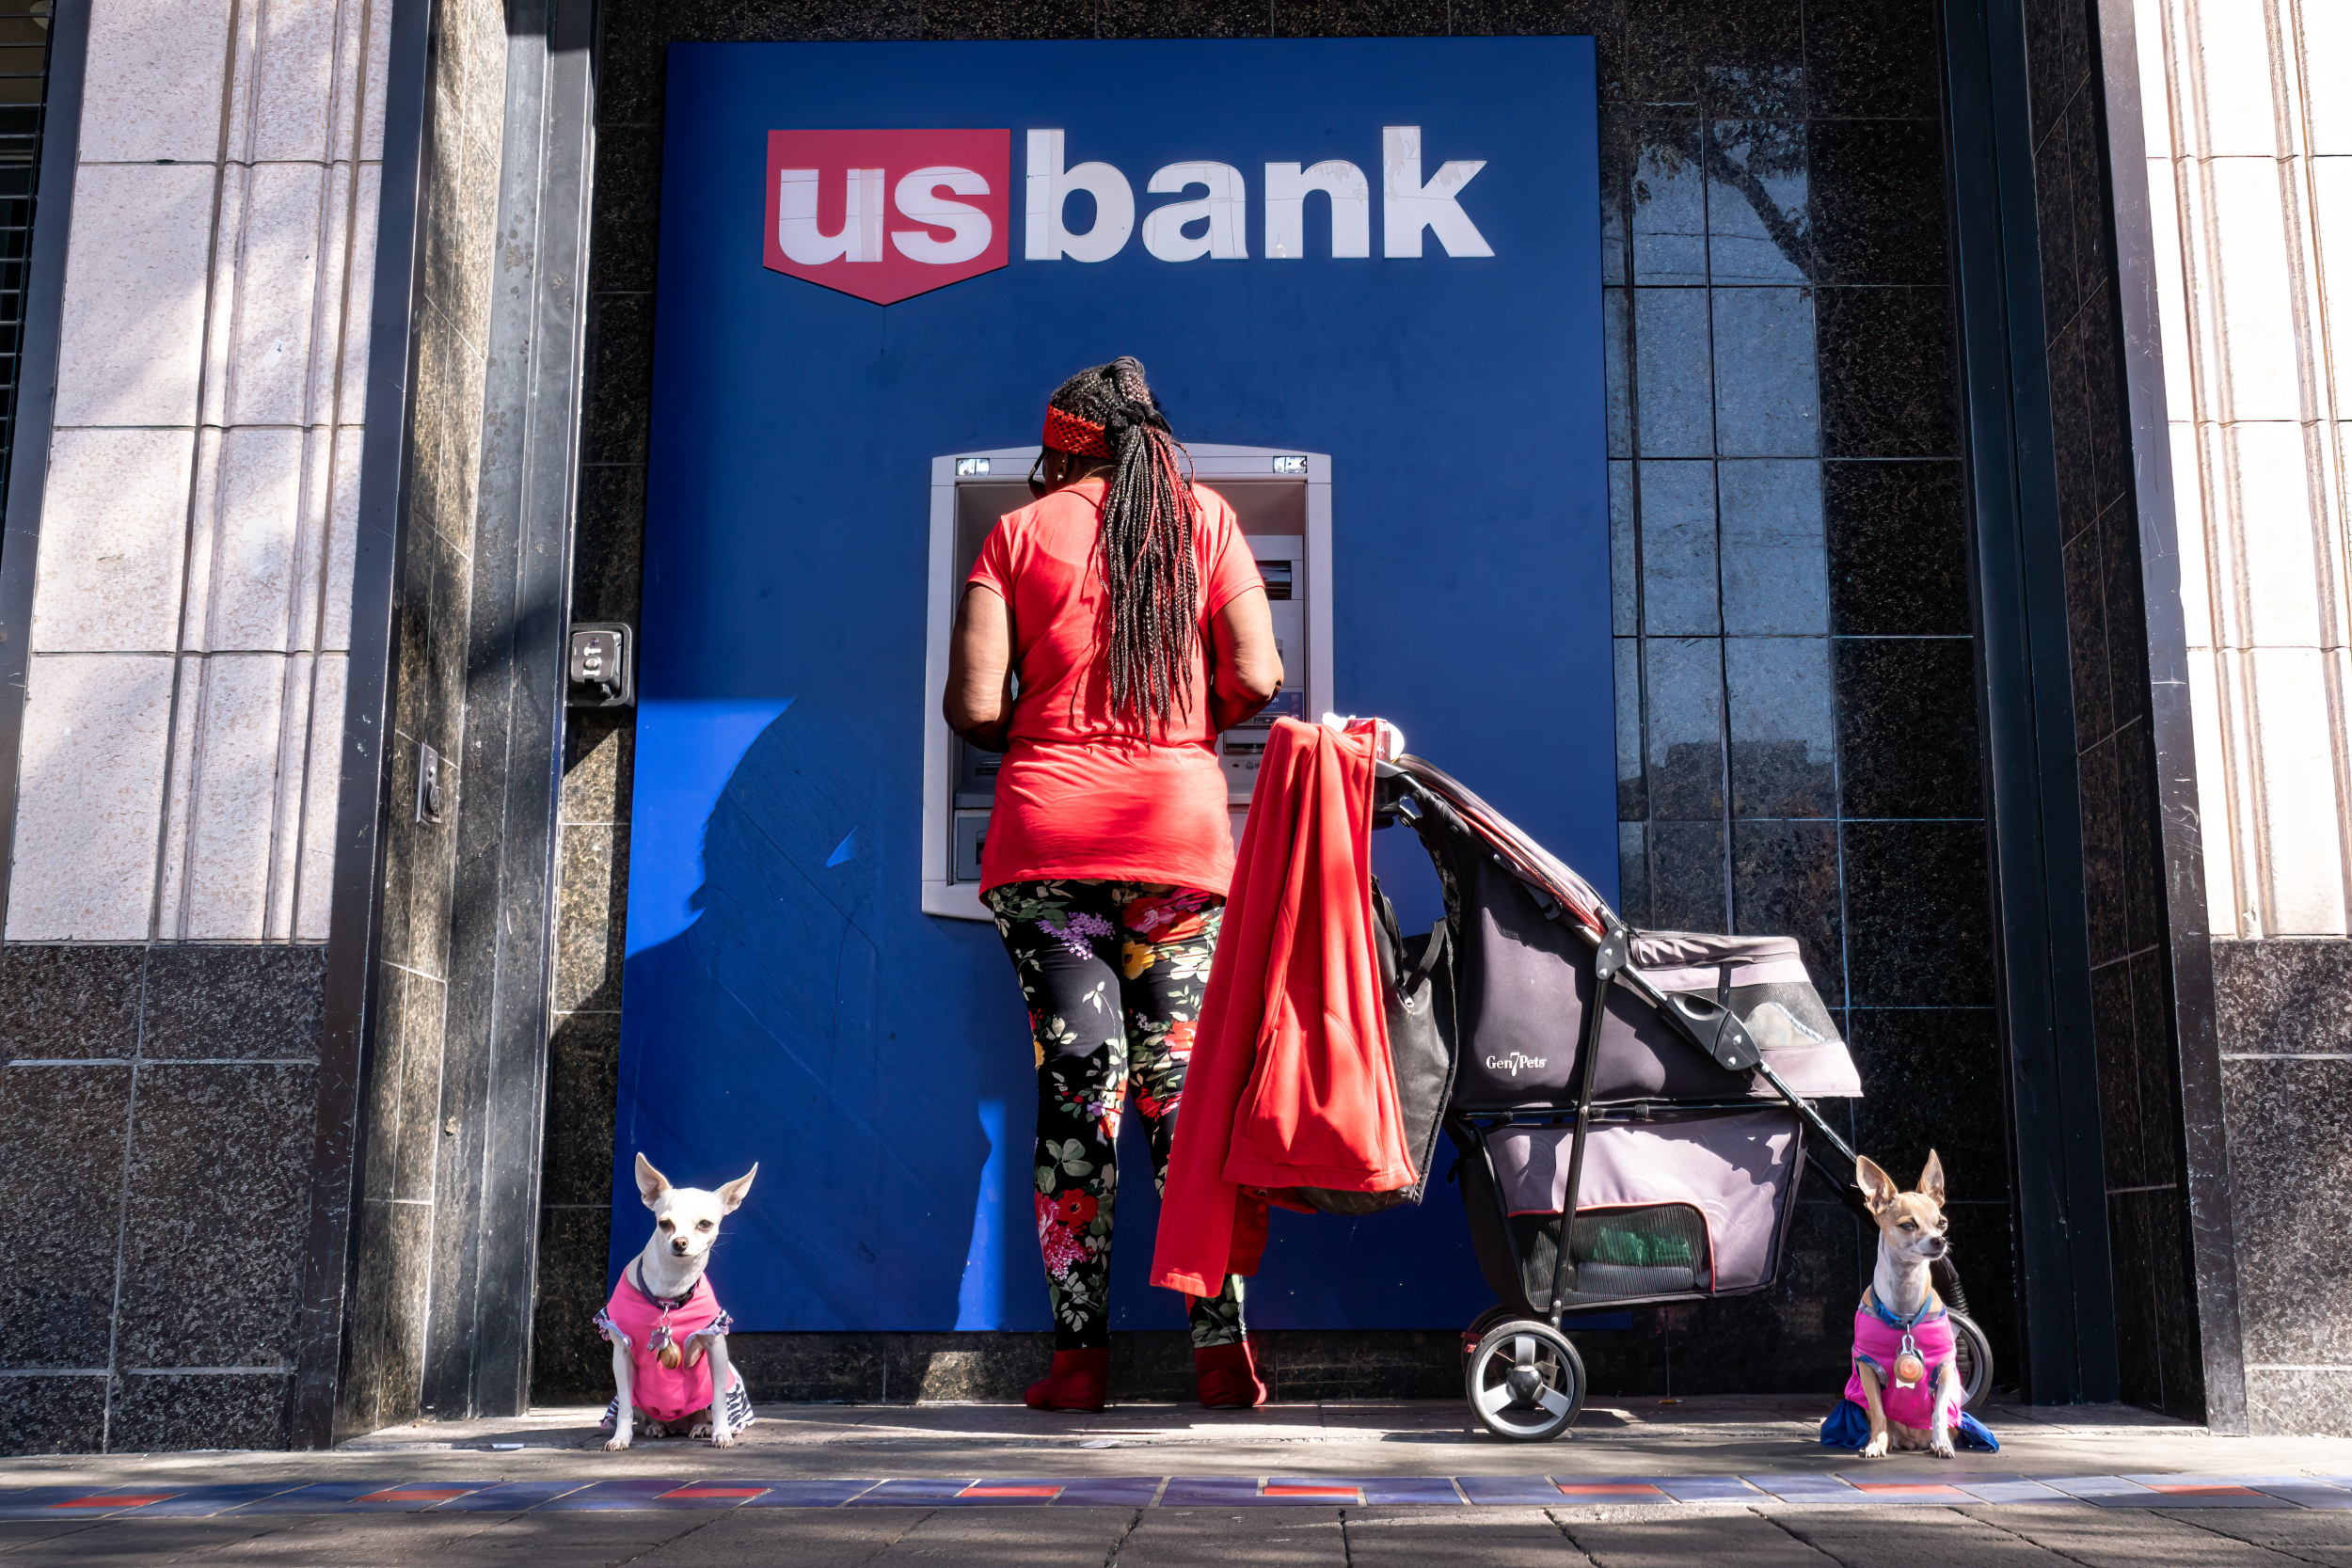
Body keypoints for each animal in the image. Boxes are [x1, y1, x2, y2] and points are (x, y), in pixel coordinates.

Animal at [598, 1153, 757, 1450]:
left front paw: (721, 1433)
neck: (669, 1293)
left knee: (707, 1410)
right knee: (640, 1413)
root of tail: (678, 1425)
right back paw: (656, 1427)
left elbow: (719, 1400)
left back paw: (702, 1427)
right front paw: (620, 1438)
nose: (680, 1242)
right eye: (664, 1224)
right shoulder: (621, 1354)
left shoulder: (716, 1346)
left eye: (705, 1224)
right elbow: (624, 1406)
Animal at [1846, 1150, 1963, 1459]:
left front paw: (1942, 1443)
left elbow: (1938, 1411)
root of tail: (1911, 1441)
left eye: (1942, 1222)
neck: (1904, 1314)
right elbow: (1878, 1412)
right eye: (1908, 1225)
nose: (1939, 1241)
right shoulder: (1866, 1366)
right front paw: (1876, 1443)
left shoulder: (1946, 1367)